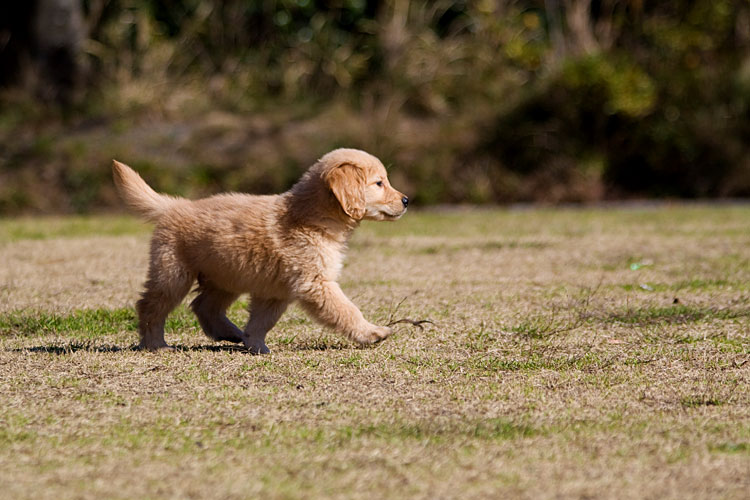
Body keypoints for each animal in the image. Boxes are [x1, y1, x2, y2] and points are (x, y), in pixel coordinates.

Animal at [111, 147, 408, 352]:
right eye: (379, 183)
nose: (406, 200)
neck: (309, 217)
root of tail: (174, 205)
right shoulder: (315, 283)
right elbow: (346, 310)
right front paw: (372, 332)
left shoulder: (275, 291)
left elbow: (261, 321)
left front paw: (256, 345)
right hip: (174, 274)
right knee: (150, 306)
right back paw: (156, 344)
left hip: (225, 276)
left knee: (204, 306)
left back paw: (231, 333)